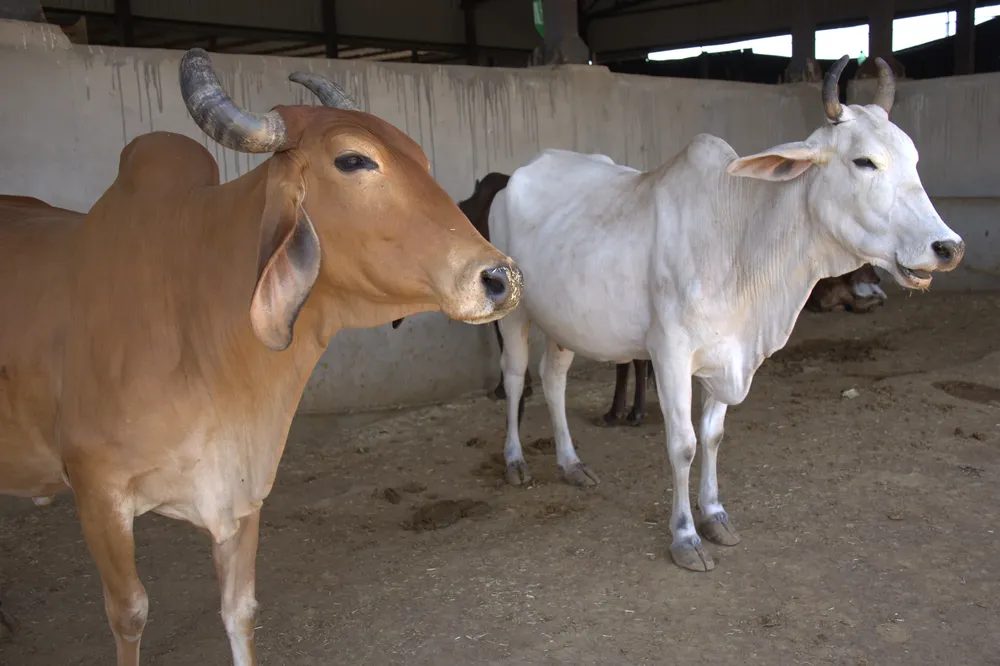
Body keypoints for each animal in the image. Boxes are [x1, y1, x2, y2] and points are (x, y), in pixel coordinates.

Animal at [0, 48, 521, 666]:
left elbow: (239, 611)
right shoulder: (98, 494)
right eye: (353, 160)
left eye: (419, 157)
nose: (500, 278)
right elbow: (129, 615)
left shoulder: (241, 492)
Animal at [488, 56, 963, 573]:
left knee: (553, 379)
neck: (740, 244)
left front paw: (714, 515)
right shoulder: (670, 354)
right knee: (515, 377)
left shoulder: (728, 352)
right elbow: (683, 444)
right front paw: (685, 536)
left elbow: (712, 436)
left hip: (565, 323)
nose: (947, 247)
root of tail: (518, 176)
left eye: (913, 159)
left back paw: (571, 464)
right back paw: (514, 461)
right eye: (864, 161)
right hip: (512, 313)